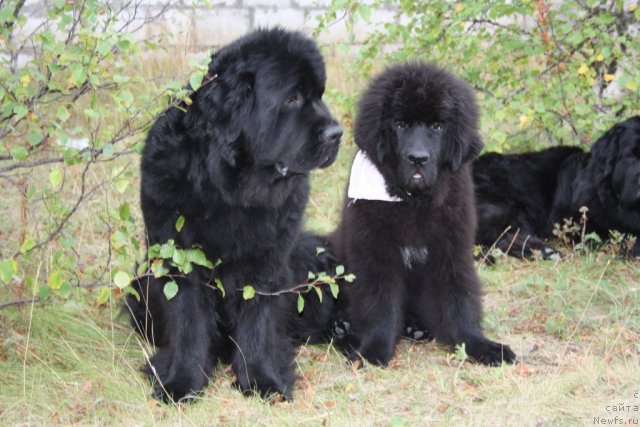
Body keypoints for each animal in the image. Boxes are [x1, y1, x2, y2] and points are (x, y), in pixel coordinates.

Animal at [127, 29, 342, 404]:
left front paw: (263, 380)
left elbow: (259, 322)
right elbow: (187, 321)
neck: (231, 187)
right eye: (293, 97)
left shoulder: (268, 260)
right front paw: (180, 383)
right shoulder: (178, 257)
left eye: (319, 95)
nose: (337, 133)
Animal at [328, 62, 516, 368]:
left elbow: (458, 302)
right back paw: (344, 330)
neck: (413, 203)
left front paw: (481, 346)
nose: (418, 158)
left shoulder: (452, 252)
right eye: (400, 125)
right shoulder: (375, 255)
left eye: (437, 126)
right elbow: (380, 305)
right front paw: (373, 351)